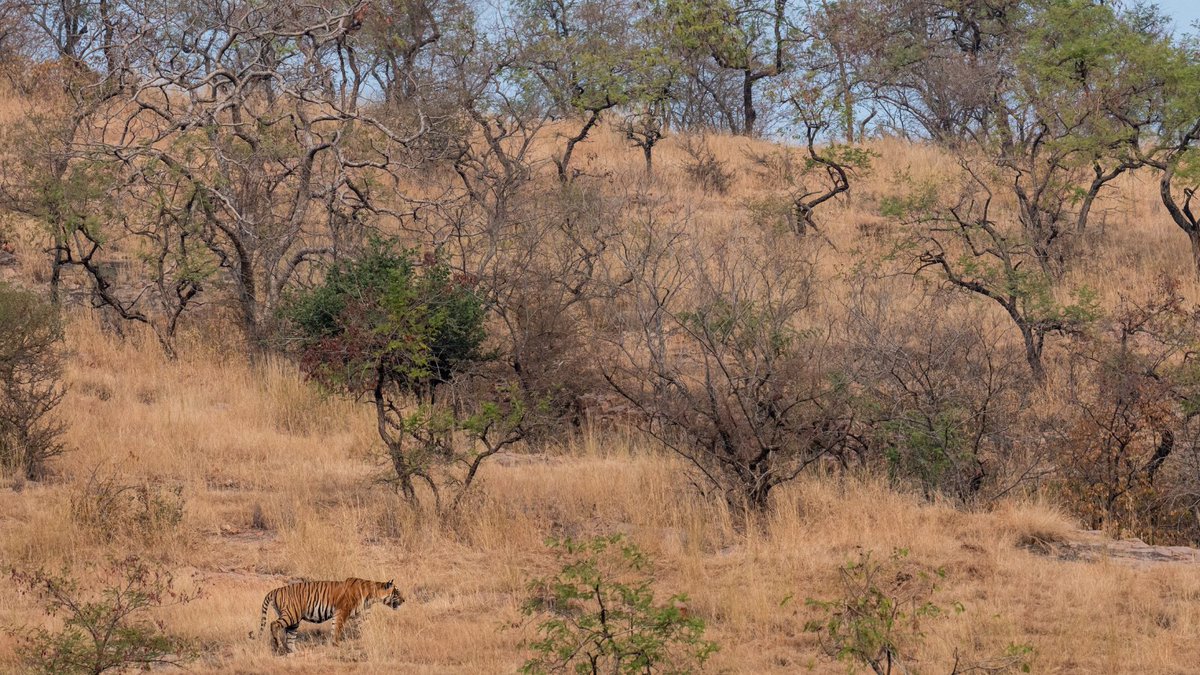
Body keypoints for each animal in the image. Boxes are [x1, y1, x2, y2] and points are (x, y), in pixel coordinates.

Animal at [255, 578, 405, 654]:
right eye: (397, 592)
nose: (404, 600)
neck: (372, 595)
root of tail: (275, 590)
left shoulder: (360, 616)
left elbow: (360, 628)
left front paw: (361, 639)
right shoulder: (342, 612)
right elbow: (337, 629)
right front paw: (337, 644)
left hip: (294, 621)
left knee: (290, 637)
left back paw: (295, 652)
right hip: (291, 615)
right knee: (274, 624)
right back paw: (278, 645)